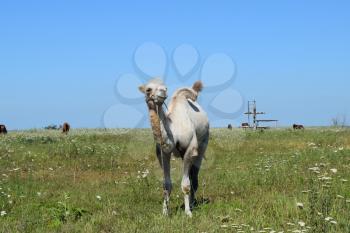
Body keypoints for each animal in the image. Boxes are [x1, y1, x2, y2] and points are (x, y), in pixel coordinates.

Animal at [139, 78, 209, 217]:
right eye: (148, 89)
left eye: (165, 87)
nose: (162, 92)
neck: (173, 130)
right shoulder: (163, 153)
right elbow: (166, 184)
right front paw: (165, 212)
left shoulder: (190, 149)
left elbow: (186, 185)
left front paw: (188, 212)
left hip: (203, 144)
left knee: (194, 177)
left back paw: (192, 204)